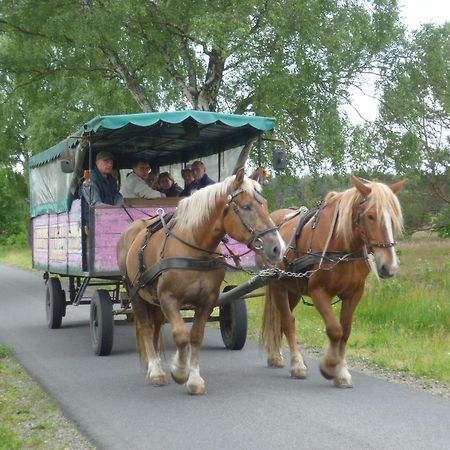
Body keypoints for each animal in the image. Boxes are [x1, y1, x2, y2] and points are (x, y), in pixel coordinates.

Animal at [118, 169, 284, 394]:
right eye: (246, 206)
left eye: (264, 204)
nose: (277, 248)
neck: (194, 248)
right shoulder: (169, 298)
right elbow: (181, 335)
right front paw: (179, 371)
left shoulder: (207, 300)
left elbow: (195, 335)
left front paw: (194, 378)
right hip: (135, 294)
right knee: (146, 327)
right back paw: (155, 371)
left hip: (153, 300)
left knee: (156, 326)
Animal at [258, 175, 406, 386]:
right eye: (371, 216)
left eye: (393, 218)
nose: (390, 267)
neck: (341, 246)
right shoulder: (319, 292)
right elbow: (335, 330)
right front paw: (329, 366)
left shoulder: (354, 294)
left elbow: (345, 331)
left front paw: (341, 371)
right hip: (277, 285)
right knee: (287, 321)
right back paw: (297, 364)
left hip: (292, 290)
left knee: (282, 319)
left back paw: (276, 356)